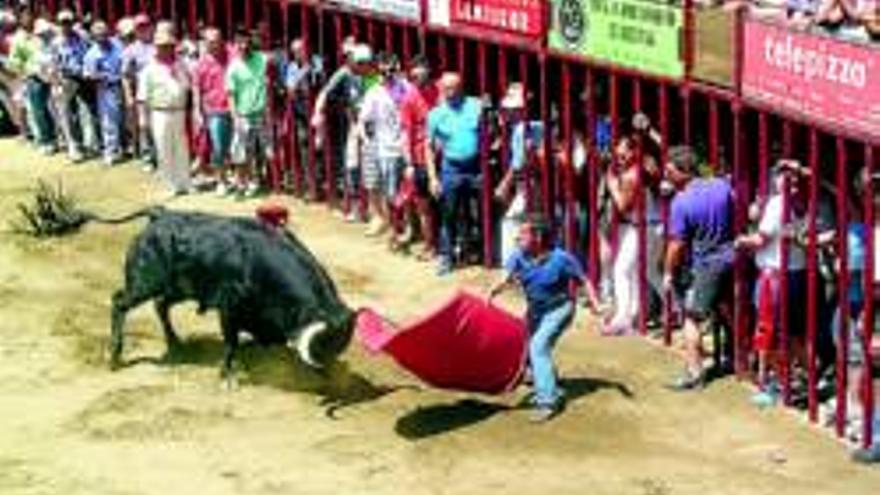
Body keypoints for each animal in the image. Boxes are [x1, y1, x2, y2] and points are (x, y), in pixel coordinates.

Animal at [108, 207, 356, 378]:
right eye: (323, 345)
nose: (325, 372)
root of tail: (159, 214)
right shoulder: (229, 306)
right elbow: (231, 340)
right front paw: (227, 373)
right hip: (145, 283)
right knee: (120, 302)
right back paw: (115, 355)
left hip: (178, 287)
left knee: (160, 305)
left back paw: (176, 343)